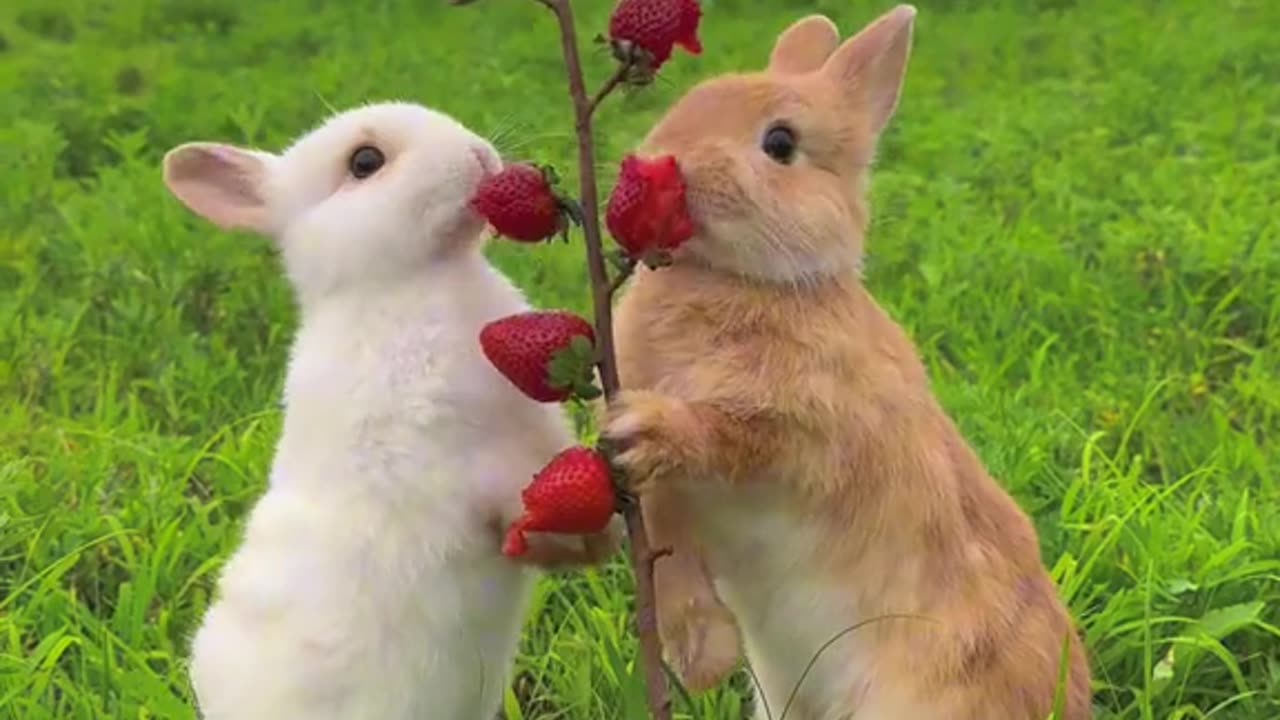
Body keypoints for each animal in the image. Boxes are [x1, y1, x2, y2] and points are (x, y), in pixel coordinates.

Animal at [599, 5, 1090, 717]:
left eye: (780, 143)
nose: (659, 161)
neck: (744, 281)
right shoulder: (671, 507)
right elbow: (670, 558)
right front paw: (702, 660)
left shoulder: (804, 429)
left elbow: (726, 437)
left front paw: (647, 428)